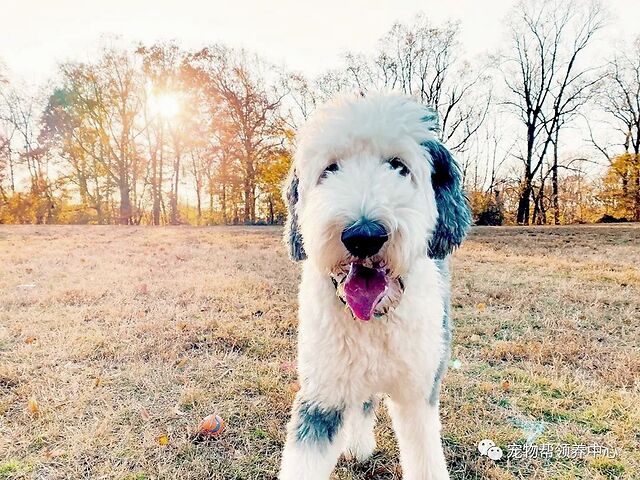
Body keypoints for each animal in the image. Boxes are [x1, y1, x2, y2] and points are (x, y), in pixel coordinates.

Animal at [280, 92, 470, 478]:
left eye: (398, 166)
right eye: (330, 168)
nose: (363, 235)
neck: (375, 317)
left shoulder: (419, 390)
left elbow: (425, 456)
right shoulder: (322, 392)